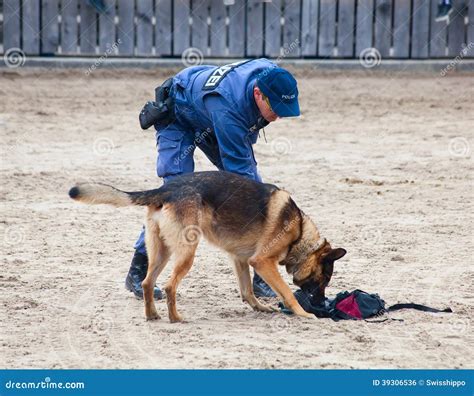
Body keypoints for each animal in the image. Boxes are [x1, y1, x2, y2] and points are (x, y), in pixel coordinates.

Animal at [69, 171, 344, 322]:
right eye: (324, 279)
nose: (323, 305)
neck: (300, 234)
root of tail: (166, 189)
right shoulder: (262, 262)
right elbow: (287, 292)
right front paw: (303, 314)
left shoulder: (241, 260)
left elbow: (247, 290)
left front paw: (260, 307)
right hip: (186, 253)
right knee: (169, 286)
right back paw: (175, 319)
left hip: (163, 252)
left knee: (148, 283)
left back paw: (153, 315)